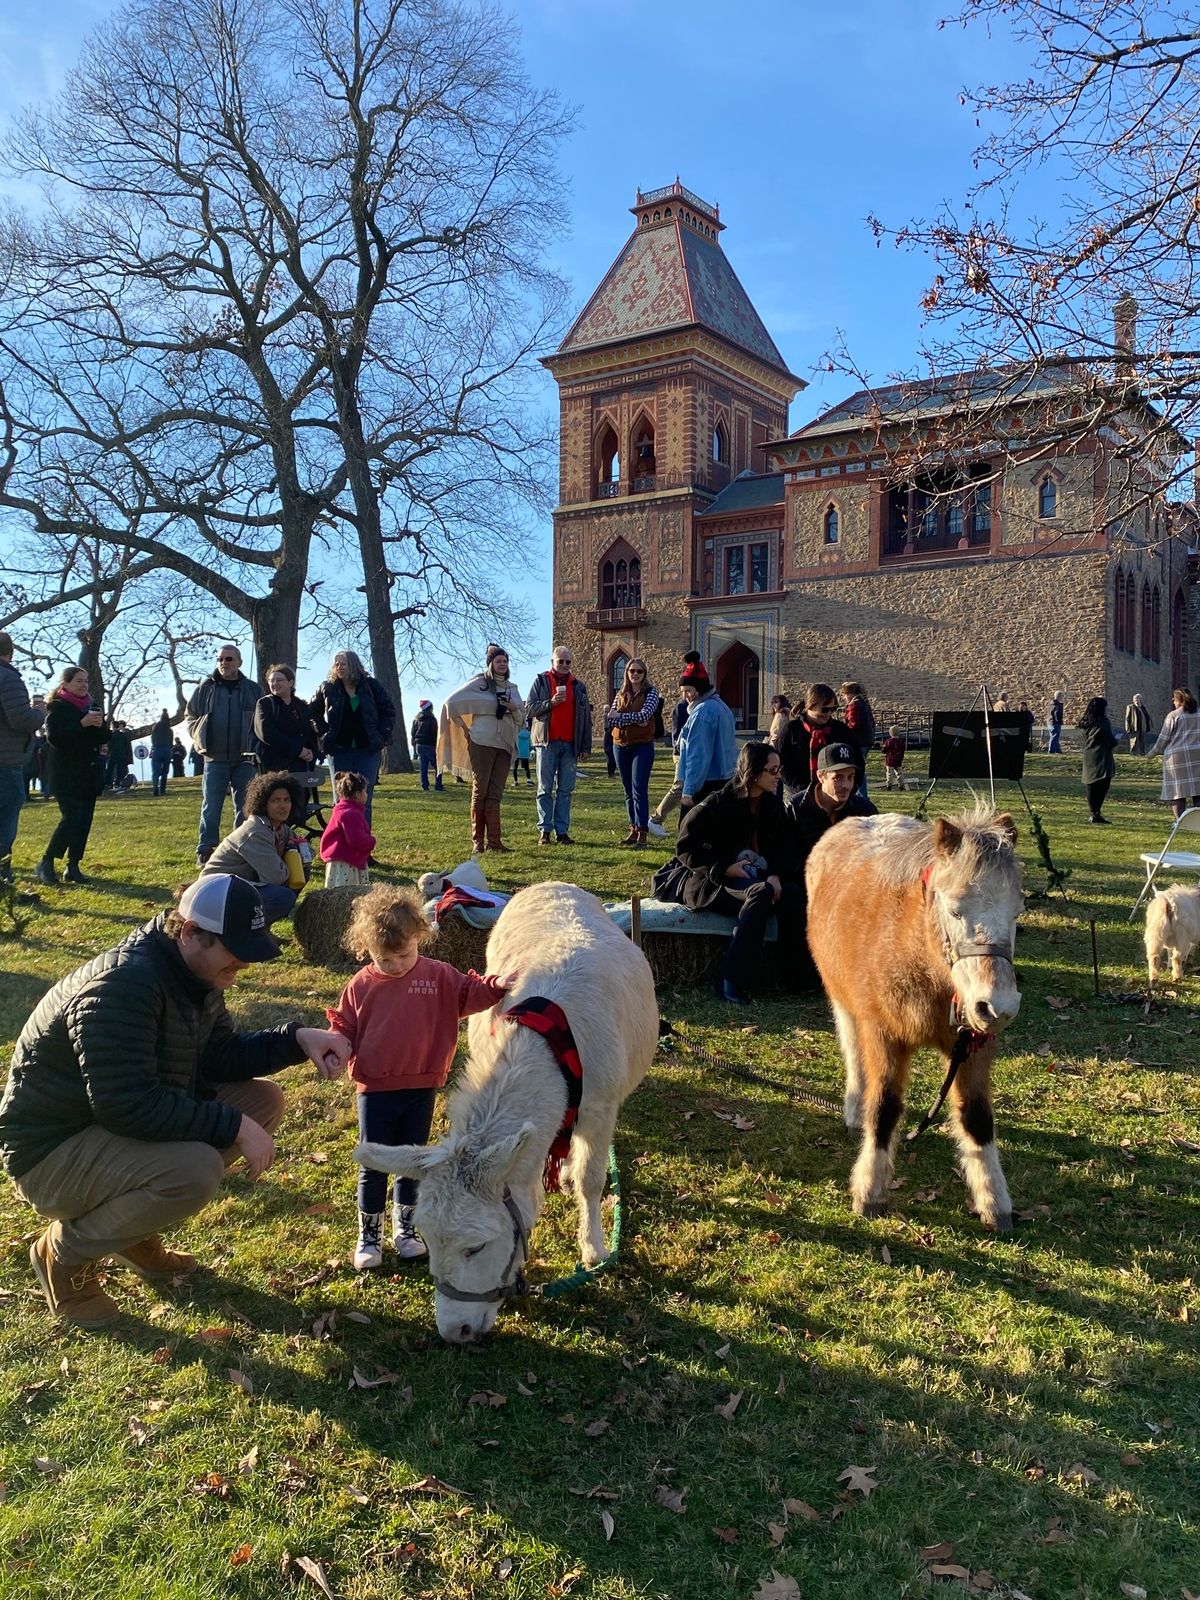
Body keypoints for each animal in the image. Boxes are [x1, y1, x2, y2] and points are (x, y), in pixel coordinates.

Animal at [356, 883, 659, 1344]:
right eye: (427, 1238)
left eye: (476, 1247)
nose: (455, 1332)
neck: (546, 1042)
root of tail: (553, 883)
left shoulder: (601, 1108)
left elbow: (591, 1180)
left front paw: (594, 1249)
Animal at [809, 806, 1024, 1228]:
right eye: (955, 909)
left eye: (1016, 913)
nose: (997, 1007)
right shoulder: (883, 1034)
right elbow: (884, 1108)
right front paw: (870, 1191)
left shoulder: (972, 1046)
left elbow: (977, 1118)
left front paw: (994, 1202)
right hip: (841, 999)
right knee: (853, 1053)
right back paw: (854, 1111)